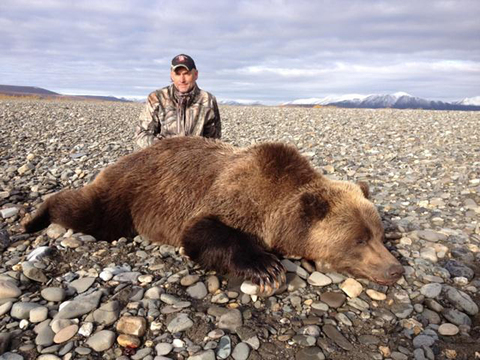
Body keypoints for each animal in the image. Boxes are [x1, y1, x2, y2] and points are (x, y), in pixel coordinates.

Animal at [24, 136, 404, 294]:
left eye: (377, 234)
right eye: (358, 239)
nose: (395, 270)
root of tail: (126, 158)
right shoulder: (229, 196)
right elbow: (202, 231)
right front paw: (267, 268)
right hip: (126, 194)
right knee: (86, 212)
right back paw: (35, 217)